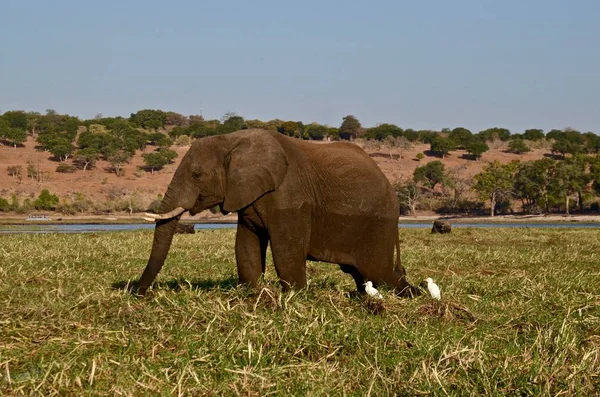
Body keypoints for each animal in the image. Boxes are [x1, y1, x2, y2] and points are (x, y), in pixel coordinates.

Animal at [137, 128, 418, 296]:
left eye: (196, 175)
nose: (137, 292)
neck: (231, 140)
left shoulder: (290, 197)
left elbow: (286, 252)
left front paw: (295, 297)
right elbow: (246, 245)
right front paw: (253, 295)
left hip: (379, 223)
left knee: (377, 272)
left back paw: (412, 295)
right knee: (362, 274)